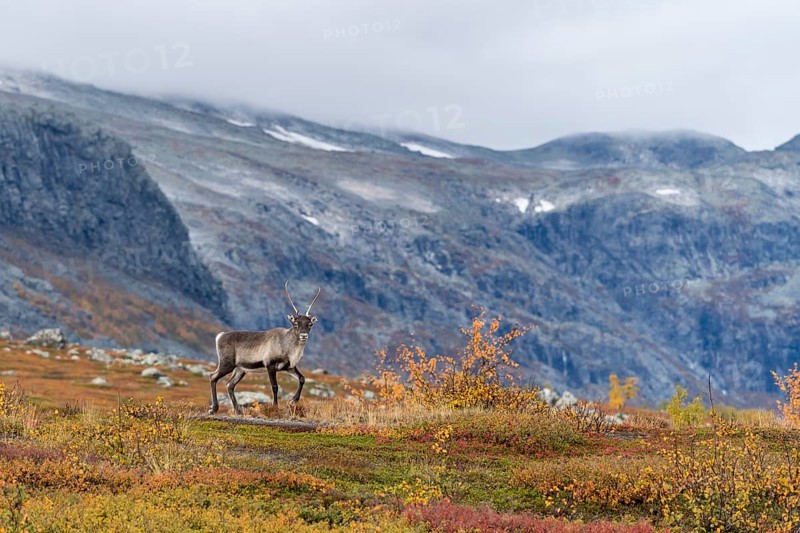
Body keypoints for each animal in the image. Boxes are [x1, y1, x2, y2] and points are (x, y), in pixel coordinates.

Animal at [208, 280, 321, 416]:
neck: (288, 347)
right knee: (213, 377)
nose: (304, 335)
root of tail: (220, 336)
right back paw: (213, 409)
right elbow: (275, 387)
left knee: (230, 384)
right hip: (227, 364)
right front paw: (275, 407)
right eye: (295, 323)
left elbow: (302, 378)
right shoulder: (270, 365)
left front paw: (293, 400)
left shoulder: (289, 367)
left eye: (310, 324)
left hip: (241, 369)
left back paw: (238, 411)